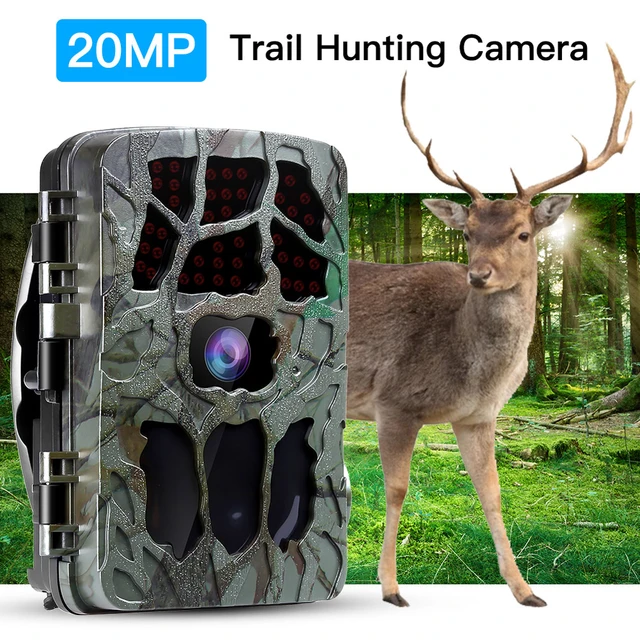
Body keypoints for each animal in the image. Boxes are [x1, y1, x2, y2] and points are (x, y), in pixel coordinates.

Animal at [346, 45, 633, 608]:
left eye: (523, 233)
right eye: (469, 233)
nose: (478, 274)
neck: (474, 370)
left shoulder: (478, 417)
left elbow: (493, 494)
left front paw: (525, 590)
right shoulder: (395, 400)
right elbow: (396, 489)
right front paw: (390, 586)